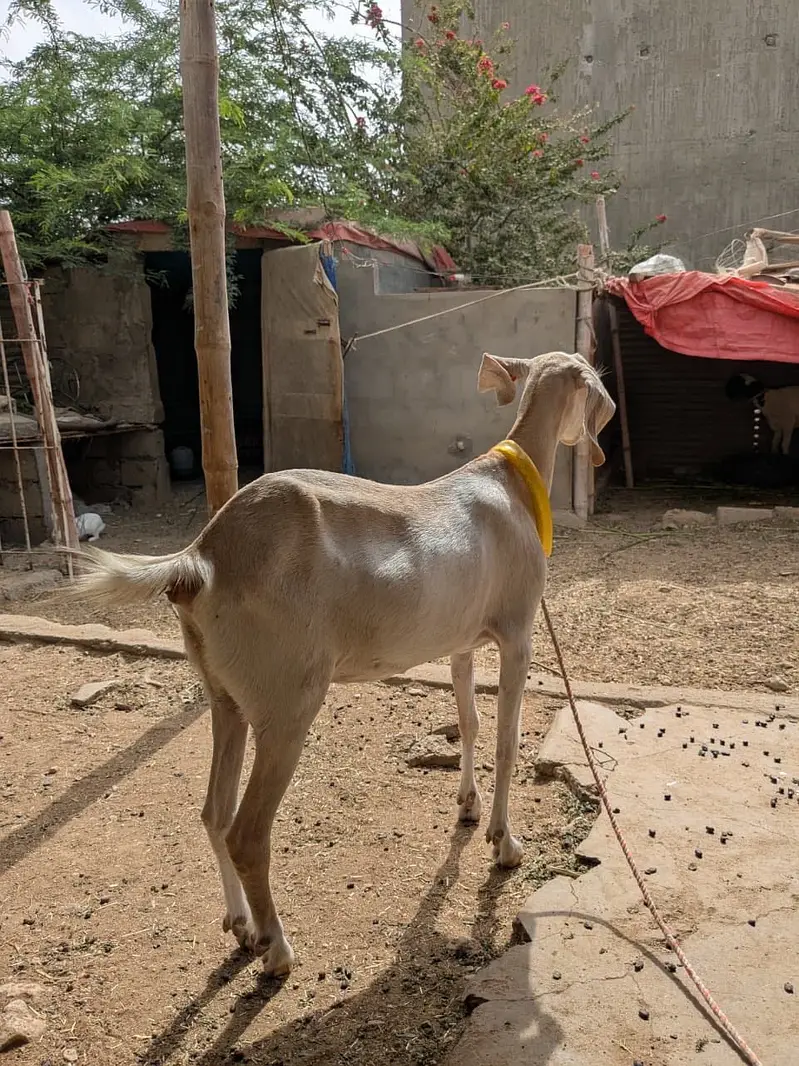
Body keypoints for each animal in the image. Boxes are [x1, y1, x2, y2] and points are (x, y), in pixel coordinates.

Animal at [71, 351, 615, 977]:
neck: (511, 483)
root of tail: (202, 557)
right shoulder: (518, 633)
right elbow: (506, 740)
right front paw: (505, 845)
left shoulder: (461, 640)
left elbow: (471, 722)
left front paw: (468, 807)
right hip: (288, 702)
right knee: (247, 832)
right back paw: (277, 949)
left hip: (225, 696)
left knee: (213, 812)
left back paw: (241, 926)